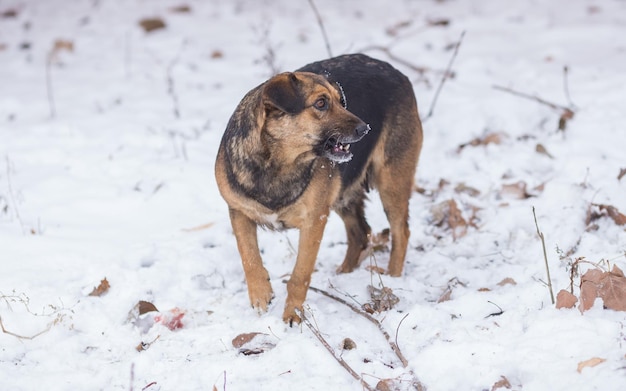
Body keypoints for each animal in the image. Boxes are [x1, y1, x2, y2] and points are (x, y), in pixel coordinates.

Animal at [214, 54, 424, 324]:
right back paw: (344, 274)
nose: (365, 128)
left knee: (400, 232)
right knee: (360, 232)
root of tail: (395, 71)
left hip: (391, 181)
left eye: (341, 102)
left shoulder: (314, 221)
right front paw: (260, 294)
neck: (276, 164)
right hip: (343, 192)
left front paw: (293, 315)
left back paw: (392, 277)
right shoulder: (239, 212)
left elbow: (299, 275)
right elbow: (249, 257)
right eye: (321, 103)